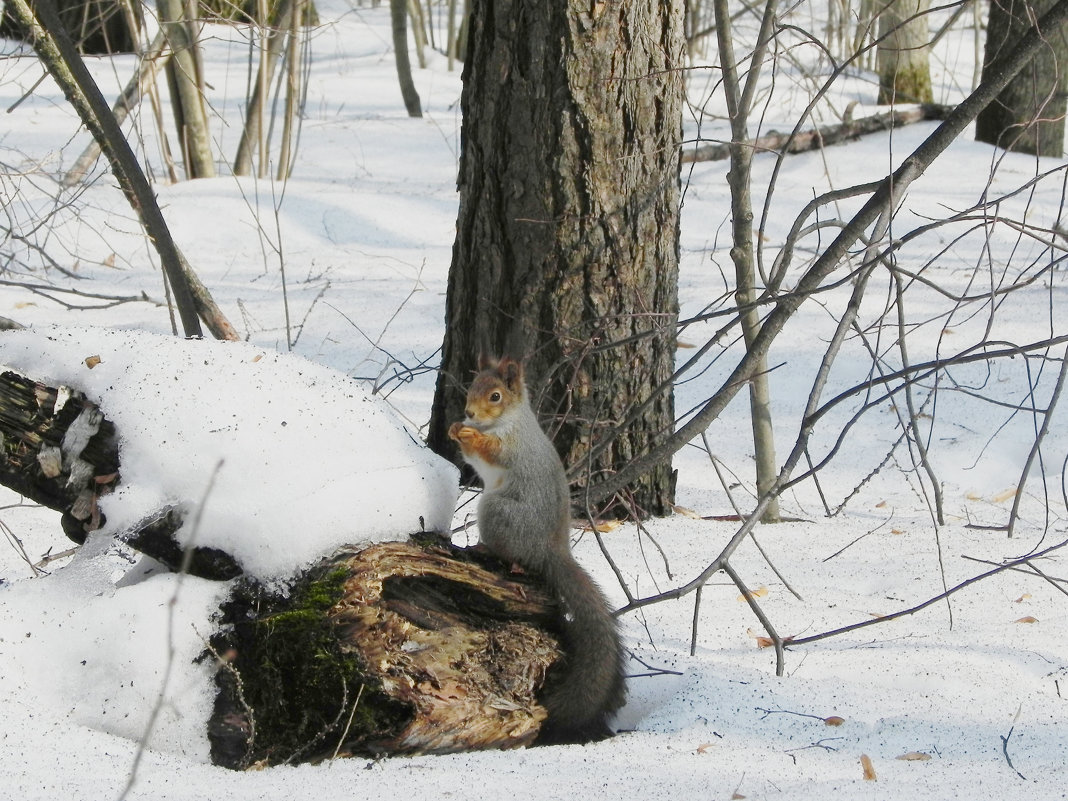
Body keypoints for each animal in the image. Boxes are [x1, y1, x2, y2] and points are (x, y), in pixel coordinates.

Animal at [448, 356, 623, 747]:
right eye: (473, 387)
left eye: (495, 396)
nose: (468, 413)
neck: (506, 421)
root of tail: (550, 552)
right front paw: (455, 428)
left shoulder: (513, 446)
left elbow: (491, 451)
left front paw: (471, 435)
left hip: (498, 513)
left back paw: (485, 547)